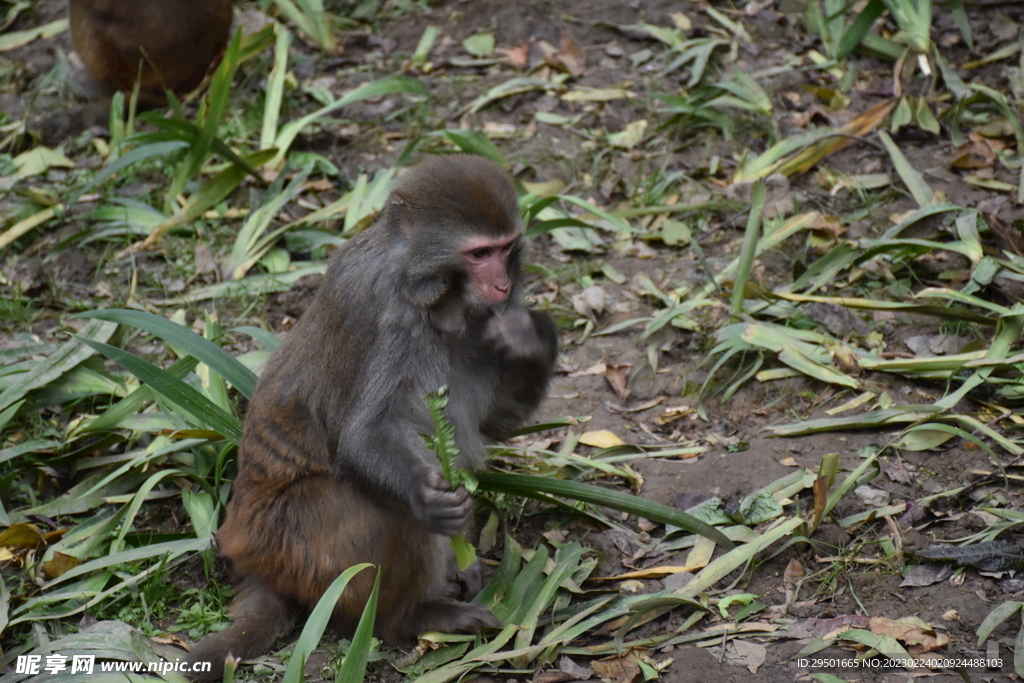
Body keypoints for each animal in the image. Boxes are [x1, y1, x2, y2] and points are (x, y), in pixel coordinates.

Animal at [188, 156, 565, 683]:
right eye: (478, 254)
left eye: (506, 248)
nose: (502, 284)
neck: (432, 293)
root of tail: (250, 554)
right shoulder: (392, 319)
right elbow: (365, 437)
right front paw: (428, 500)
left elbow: (494, 424)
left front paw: (534, 340)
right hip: (297, 543)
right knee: (387, 517)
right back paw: (409, 617)